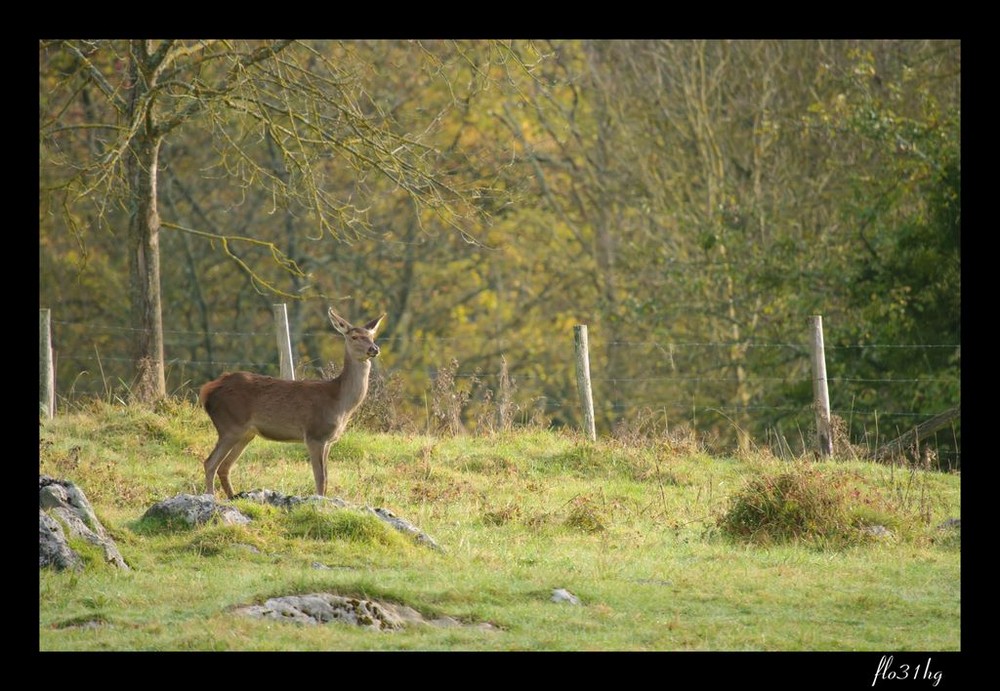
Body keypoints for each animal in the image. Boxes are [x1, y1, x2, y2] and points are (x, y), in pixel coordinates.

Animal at [197, 308, 384, 498]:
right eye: (354, 337)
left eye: (372, 336)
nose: (374, 348)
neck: (340, 403)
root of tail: (207, 390)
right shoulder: (314, 434)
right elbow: (320, 479)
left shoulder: (329, 440)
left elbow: (326, 479)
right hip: (230, 425)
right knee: (210, 463)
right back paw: (211, 496)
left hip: (246, 433)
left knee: (224, 466)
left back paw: (233, 497)